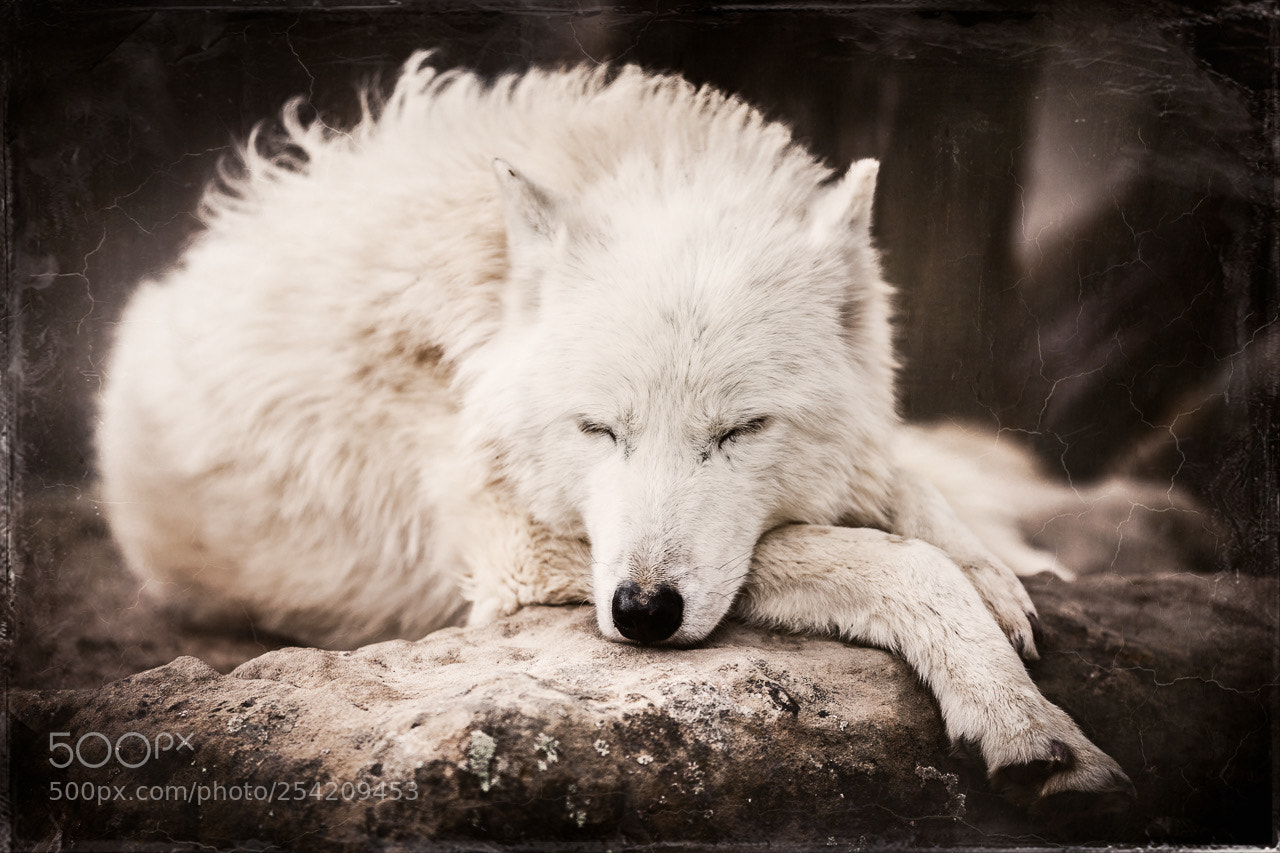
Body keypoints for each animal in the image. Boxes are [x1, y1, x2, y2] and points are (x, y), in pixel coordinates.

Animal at [97, 52, 1137, 814]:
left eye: (741, 429)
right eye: (598, 429)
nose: (643, 612)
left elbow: (910, 501)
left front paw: (995, 578)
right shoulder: (519, 566)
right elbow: (886, 558)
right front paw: (1025, 720)